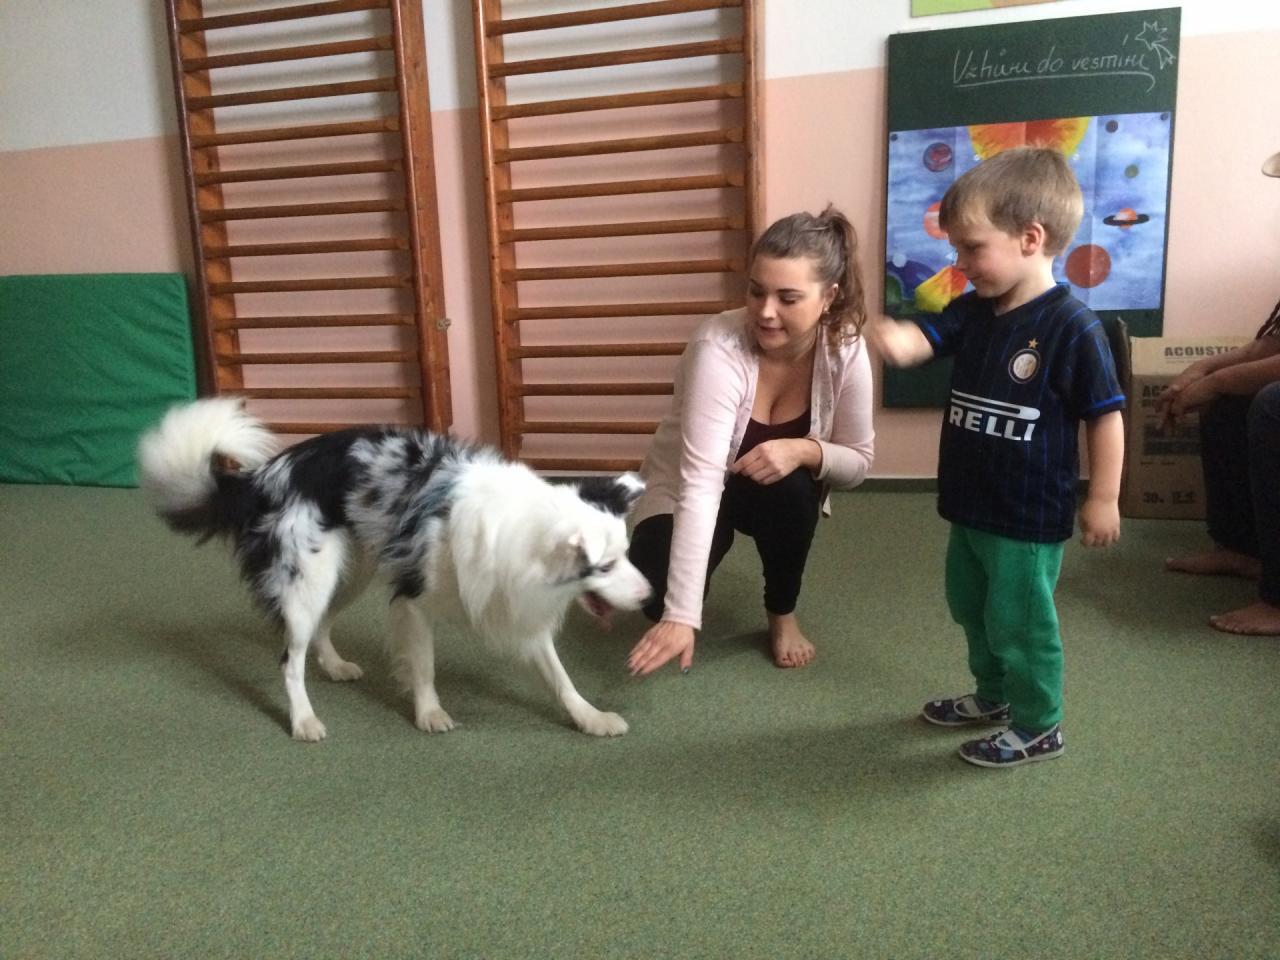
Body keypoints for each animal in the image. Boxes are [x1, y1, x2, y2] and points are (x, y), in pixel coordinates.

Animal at [137, 398, 651, 741]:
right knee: (290, 658)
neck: (521, 527)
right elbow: (423, 665)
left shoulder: (518, 604)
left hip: (351, 572)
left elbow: (560, 676)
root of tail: (261, 477)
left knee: (322, 627)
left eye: (628, 553)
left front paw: (590, 717)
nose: (649, 598)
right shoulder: (414, 598)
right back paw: (304, 720)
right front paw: (429, 714)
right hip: (308, 582)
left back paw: (336, 666)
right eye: (605, 566)